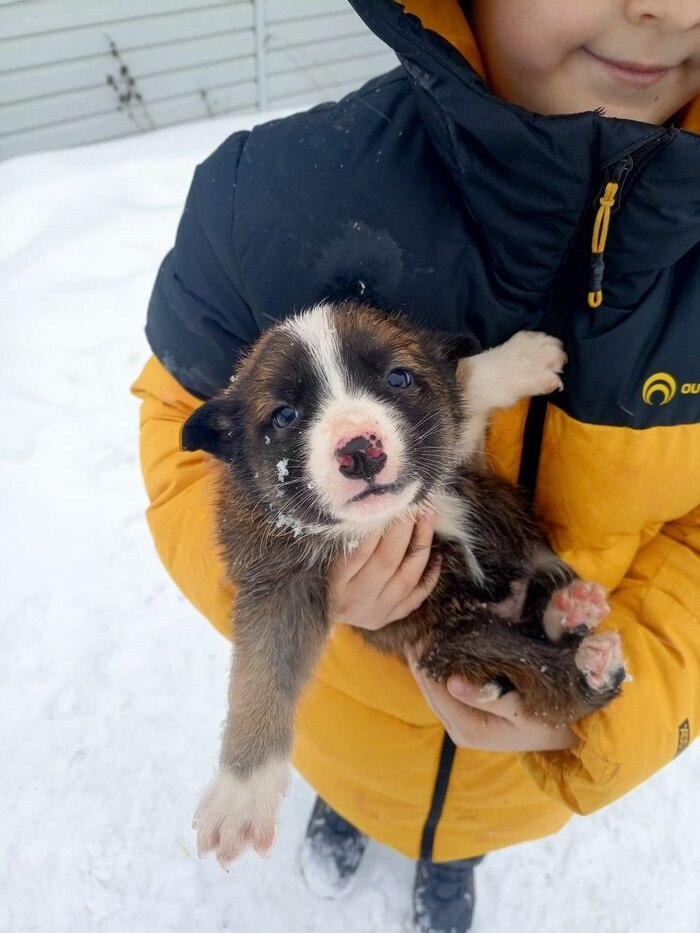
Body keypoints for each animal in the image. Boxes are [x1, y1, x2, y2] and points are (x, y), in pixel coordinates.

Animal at [182, 301, 626, 868]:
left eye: (398, 378)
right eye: (284, 415)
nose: (359, 451)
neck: (382, 520)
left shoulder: (452, 452)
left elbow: (461, 391)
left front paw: (521, 359)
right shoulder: (278, 585)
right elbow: (261, 674)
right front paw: (240, 794)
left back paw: (575, 614)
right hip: (455, 640)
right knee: (544, 674)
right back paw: (588, 654)